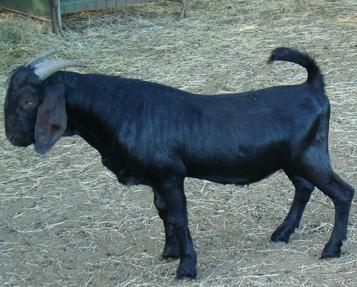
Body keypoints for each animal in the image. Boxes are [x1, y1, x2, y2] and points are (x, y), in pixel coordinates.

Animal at [4, 48, 354, 280]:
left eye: (30, 100)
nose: (13, 137)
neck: (120, 111)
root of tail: (312, 87)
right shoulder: (157, 180)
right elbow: (163, 214)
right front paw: (169, 252)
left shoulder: (170, 176)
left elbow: (178, 218)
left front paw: (187, 268)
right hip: (294, 159)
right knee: (304, 188)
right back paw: (282, 232)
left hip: (309, 156)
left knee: (342, 192)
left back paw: (331, 248)